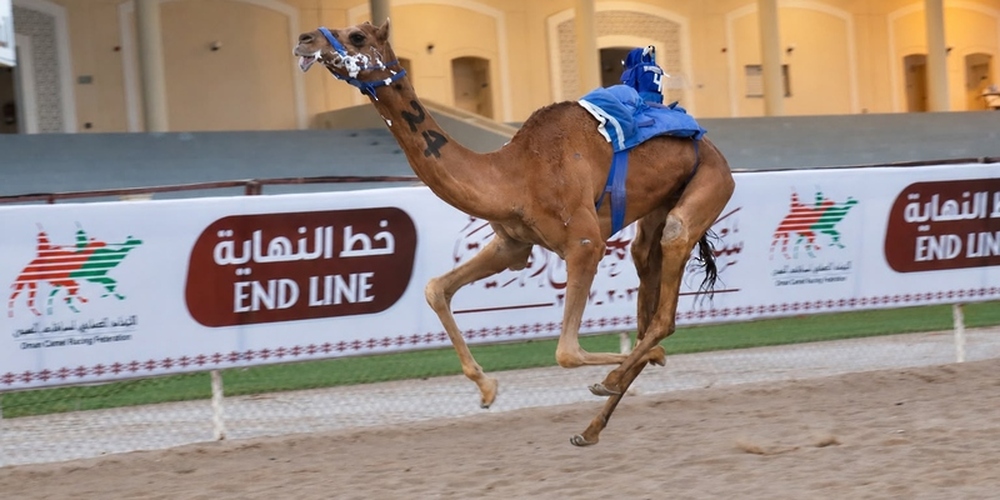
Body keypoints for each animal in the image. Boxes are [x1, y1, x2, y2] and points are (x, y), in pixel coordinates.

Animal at [294, 21, 735, 446]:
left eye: (357, 36)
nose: (304, 39)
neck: (514, 174)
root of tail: (711, 146)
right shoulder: (512, 243)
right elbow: (436, 288)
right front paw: (487, 388)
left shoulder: (584, 243)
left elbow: (567, 352)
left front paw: (642, 362)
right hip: (657, 212)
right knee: (647, 278)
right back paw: (591, 429)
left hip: (710, 184)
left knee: (667, 291)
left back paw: (622, 375)